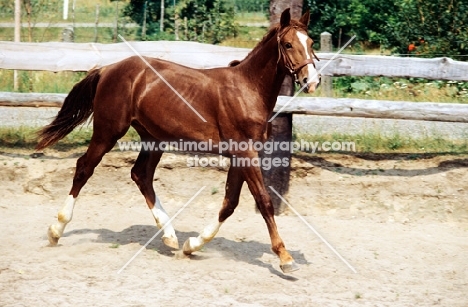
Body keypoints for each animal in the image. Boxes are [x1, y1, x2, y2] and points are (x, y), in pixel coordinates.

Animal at [37, 9, 318, 274]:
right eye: (288, 44)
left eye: (311, 42)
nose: (312, 81)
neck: (246, 91)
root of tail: (107, 69)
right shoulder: (245, 154)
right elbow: (263, 201)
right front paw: (286, 258)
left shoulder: (242, 155)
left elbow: (230, 203)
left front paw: (192, 245)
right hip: (108, 132)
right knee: (85, 168)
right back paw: (56, 230)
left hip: (153, 138)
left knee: (141, 175)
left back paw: (170, 236)